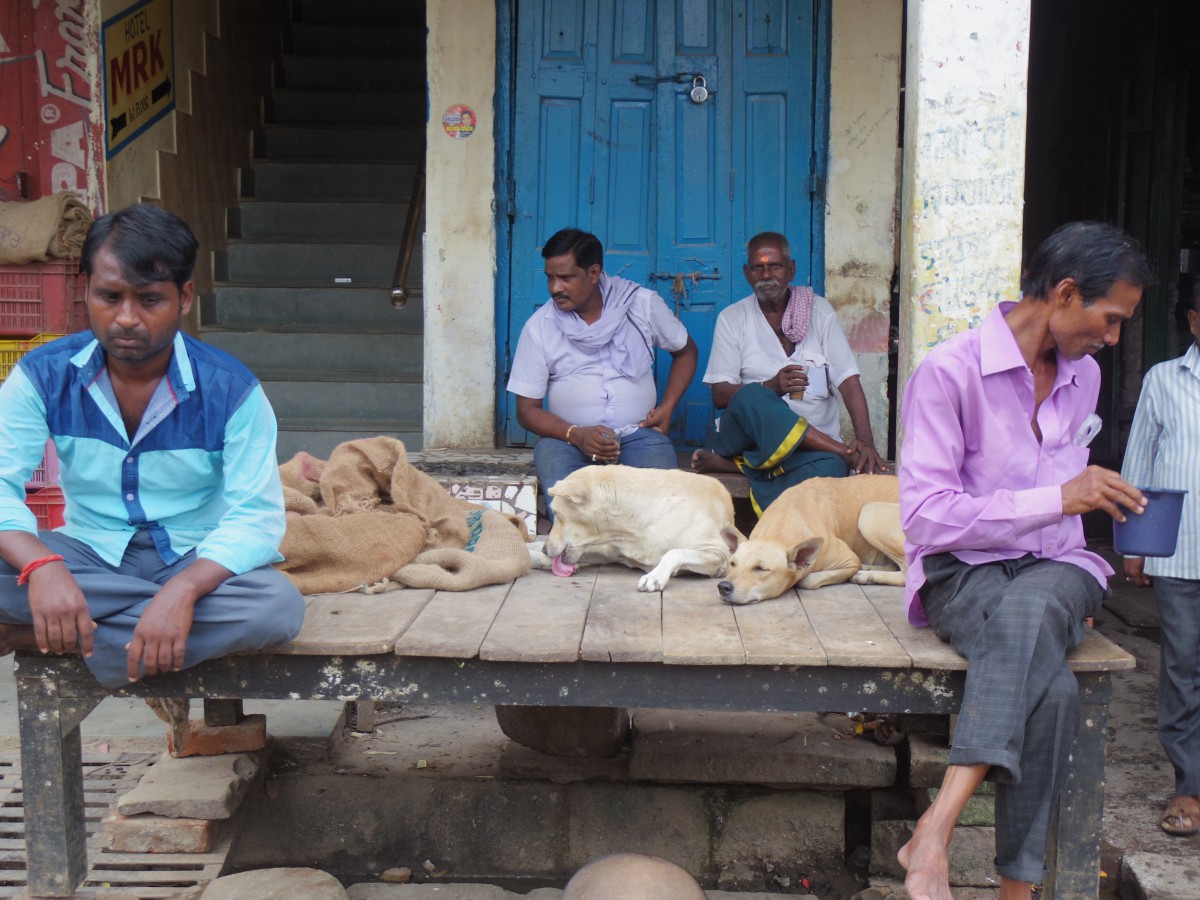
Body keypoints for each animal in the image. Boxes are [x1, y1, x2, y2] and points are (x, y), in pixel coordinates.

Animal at [532, 468, 739, 595]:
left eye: (556, 514)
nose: (544, 549)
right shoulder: (610, 552)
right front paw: (537, 556)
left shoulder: (718, 554)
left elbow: (675, 552)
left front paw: (655, 576)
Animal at [715, 475, 902, 609]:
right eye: (733, 564)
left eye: (761, 569)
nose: (723, 587)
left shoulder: (850, 561)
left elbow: (807, 580)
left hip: (869, 512)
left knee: (905, 574)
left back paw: (867, 575)